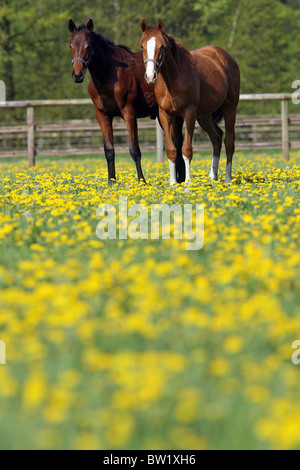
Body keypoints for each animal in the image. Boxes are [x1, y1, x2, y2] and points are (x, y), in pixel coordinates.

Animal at [68, 18, 158, 184]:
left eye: (88, 45)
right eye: (70, 45)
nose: (77, 75)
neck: (108, 75)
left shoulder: (129, 113)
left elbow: (135, 150)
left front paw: (142, 181)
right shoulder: (103, 115)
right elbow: (109, 150)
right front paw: (111, 182)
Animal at [139, 20, 240, 185]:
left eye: (162, 46)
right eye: (142, 46)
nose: (150, 76)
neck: (174, 79)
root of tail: (228, 58)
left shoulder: (189, 113)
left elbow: (186, 149)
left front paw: (187, 182)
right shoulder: (165, 115)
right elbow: (172, 150)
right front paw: (173, 183)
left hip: (230, 107)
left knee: (229, 142)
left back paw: (227, 179)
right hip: (204, 116)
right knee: (217, 138)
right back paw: (212, 177)